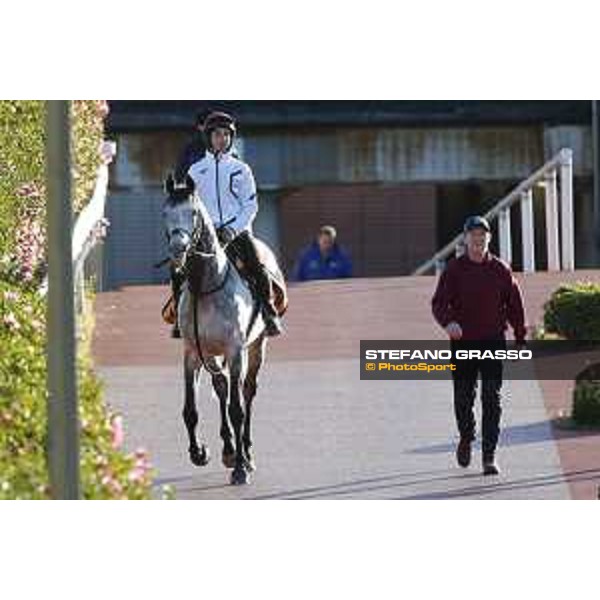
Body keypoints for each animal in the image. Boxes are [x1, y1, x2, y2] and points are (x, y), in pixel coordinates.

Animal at [162, 176, 288, 486]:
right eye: (165, 212)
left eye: (193, 213)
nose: (177, 251)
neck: (207, 285)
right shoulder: (193, 353)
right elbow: (190, 409)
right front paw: (200, 453)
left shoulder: (235, 350)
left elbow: (237, 409)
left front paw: (241, 468)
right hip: (213, 354)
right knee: (222, 388)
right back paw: (229, 450)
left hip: (256, 347)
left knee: (247, 391)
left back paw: (246, 453)